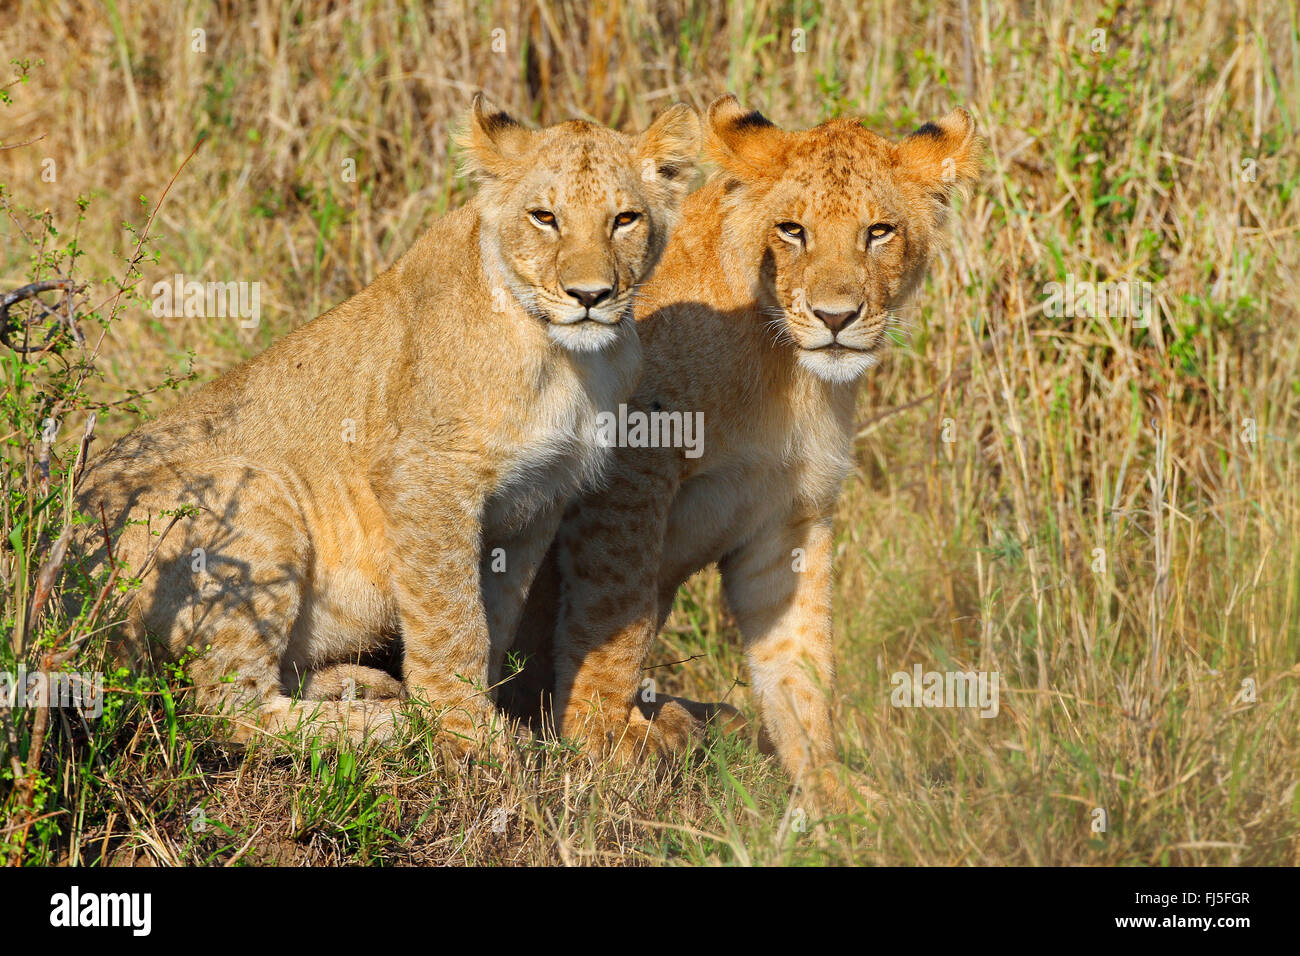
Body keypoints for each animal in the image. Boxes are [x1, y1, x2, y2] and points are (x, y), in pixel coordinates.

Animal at [72, 94, 701, 751]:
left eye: (624, 219)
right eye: (544, 217)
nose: (590, 295)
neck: (570, 361)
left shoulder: (538, 501)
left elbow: (496, 615)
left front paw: (480, 714)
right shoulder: (423, 477)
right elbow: (453, 619)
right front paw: (468, 732)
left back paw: (359, 684)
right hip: (258, 496)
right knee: (226, 707)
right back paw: (388, 723)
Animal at [501, 94, 982, 808]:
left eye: (878, 232)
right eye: (792, 231)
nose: (835, 317)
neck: (788, 372)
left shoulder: (788, 515)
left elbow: (799, 657)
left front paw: (829, 788)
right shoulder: (629, 471)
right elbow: (615, 610)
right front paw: (602, 740)